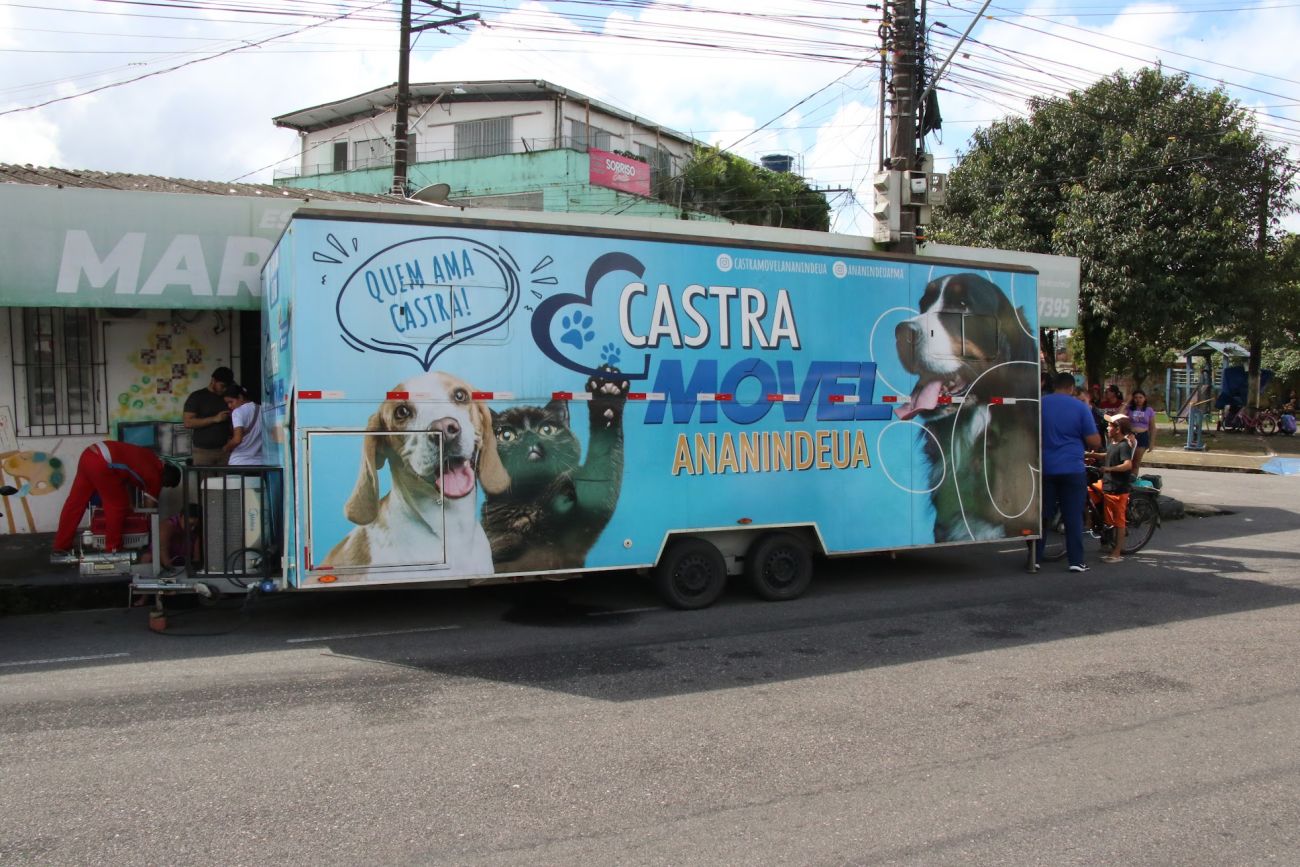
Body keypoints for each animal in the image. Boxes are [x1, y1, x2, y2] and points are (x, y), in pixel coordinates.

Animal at [481, 365, 629, 574]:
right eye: (506, 435)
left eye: (546, 429)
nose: (530, 437)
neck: (530, 498)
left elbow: (601, 464)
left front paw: (608, 396)